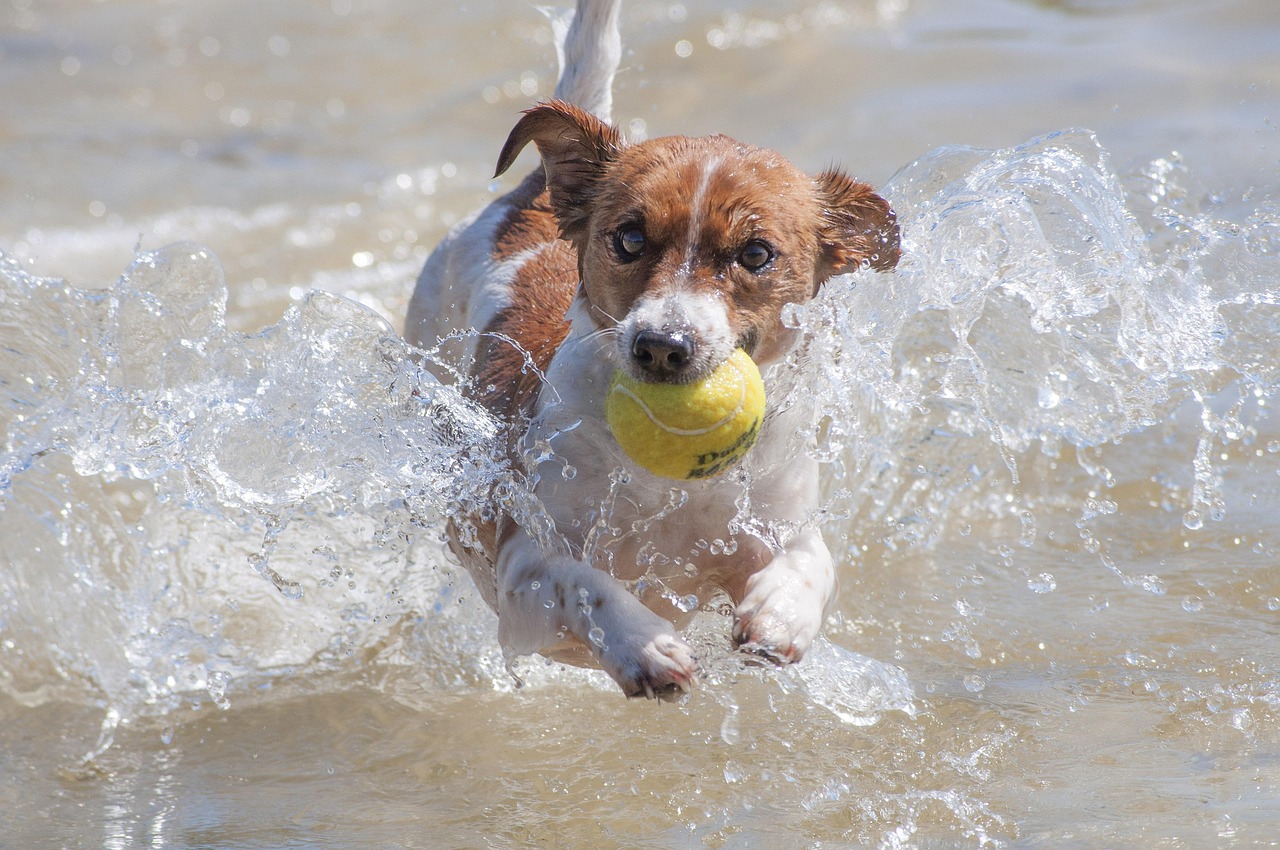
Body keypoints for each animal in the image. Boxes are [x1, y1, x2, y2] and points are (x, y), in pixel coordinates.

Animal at [401, 0, 901, 696]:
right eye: (630, 238)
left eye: (756, 254)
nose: (663, 346)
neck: (672, 488)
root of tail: (532, 192)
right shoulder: (522, 568)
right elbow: (583, 582)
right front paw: (643, 644)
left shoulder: (780, 524)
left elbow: (811, 564)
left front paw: (780, 617)